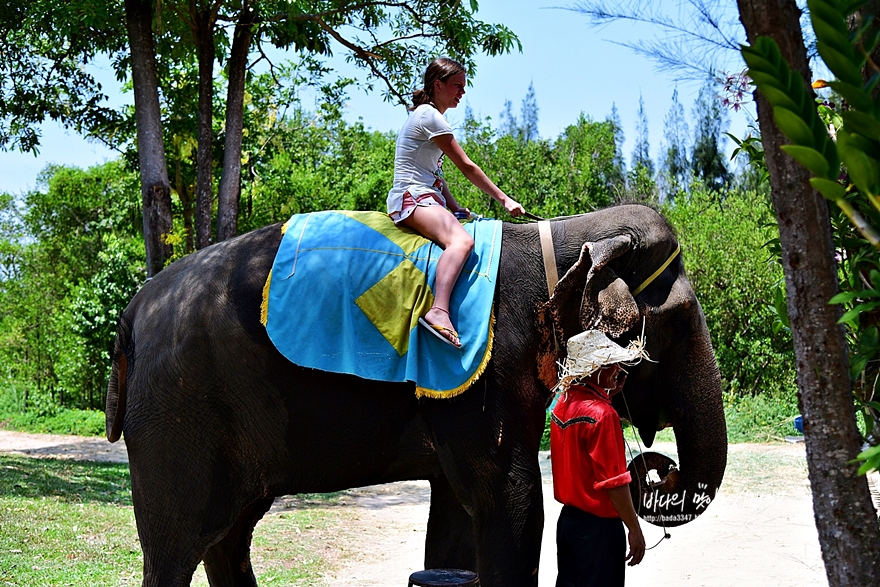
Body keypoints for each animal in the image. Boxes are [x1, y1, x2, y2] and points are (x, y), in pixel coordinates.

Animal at [106, 203, 728, 587]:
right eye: (679, 323)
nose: (659, 468)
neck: (564, 234)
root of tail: (132, 310)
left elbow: (456, 518)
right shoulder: (485, 375)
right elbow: (512, 500)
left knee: (228, 537)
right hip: (177, 418)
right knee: (176, 548)